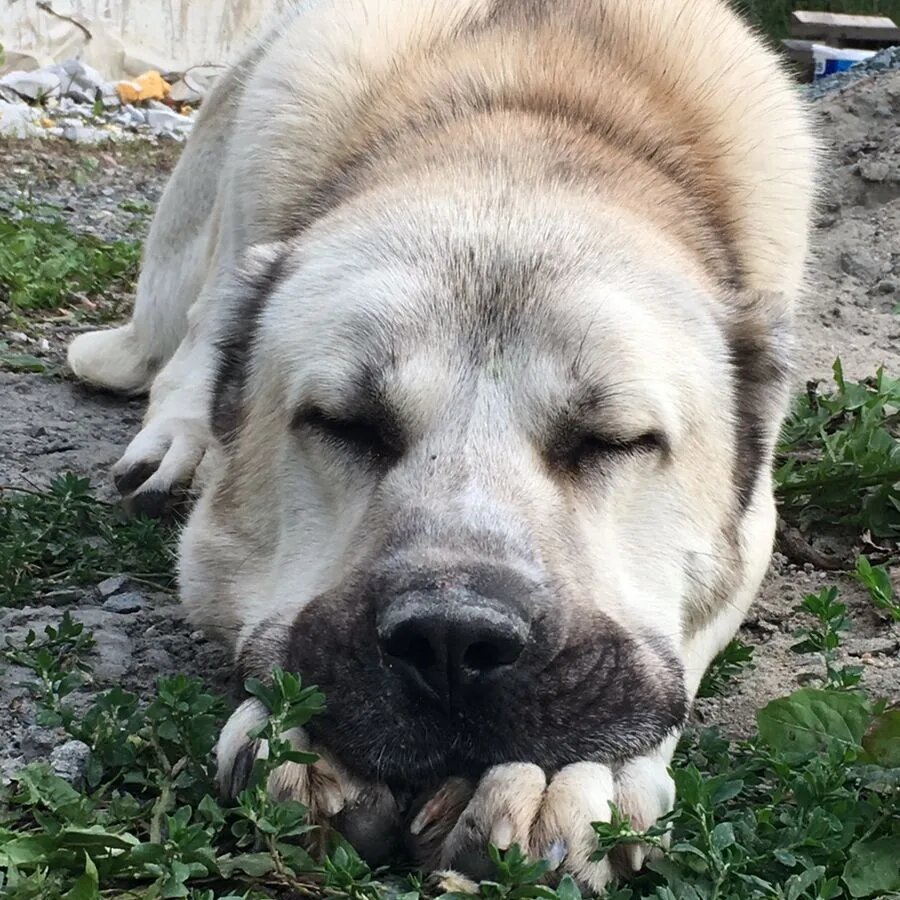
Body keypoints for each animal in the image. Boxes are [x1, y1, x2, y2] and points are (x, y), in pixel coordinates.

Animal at [68, 0, 816, 884]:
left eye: (613, 440)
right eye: (345, 423)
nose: (451, 639)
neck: (531, 101)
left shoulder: (751, 533)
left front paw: (564, 770)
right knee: (191, 331)